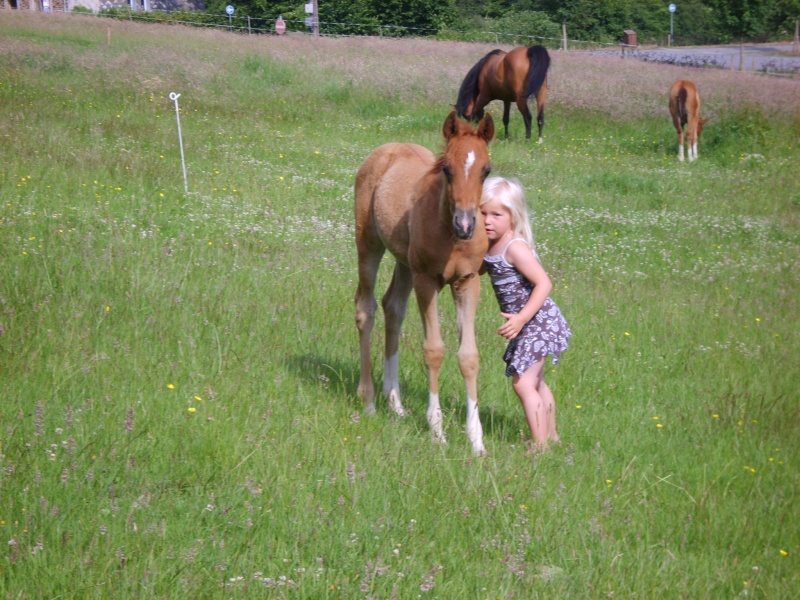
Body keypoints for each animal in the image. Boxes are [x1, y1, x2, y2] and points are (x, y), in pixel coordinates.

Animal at [354, 111, 494, 454]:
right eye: (446, 168)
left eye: (486, 170)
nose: (465, 224)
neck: (449, 233)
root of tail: (387, 149)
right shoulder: (427, 281)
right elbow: (434, 350)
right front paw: (437, 430)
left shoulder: (467, 282)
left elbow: (469, 356)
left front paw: (476, 440)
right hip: (369, 245)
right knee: (366, 308)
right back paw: (369, 401)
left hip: (405, 262)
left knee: (393, 308)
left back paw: (396, 403)